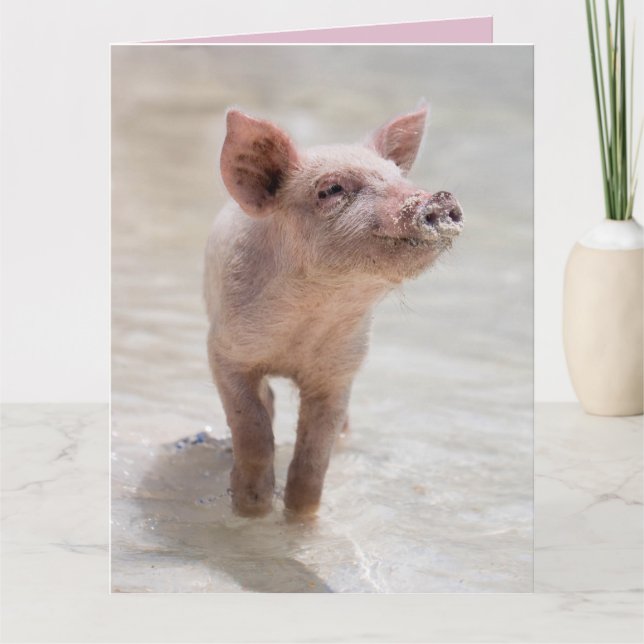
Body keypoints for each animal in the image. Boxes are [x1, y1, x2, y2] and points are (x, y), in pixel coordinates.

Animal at [204, 105, 463, 518]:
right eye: (331, 190)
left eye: (398, 177)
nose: (437, 198)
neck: (310, 318)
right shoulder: (224, 350)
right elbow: (253, 427)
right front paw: (252, 508)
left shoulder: (339, 371)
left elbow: (314, 455)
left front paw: (299, 516)